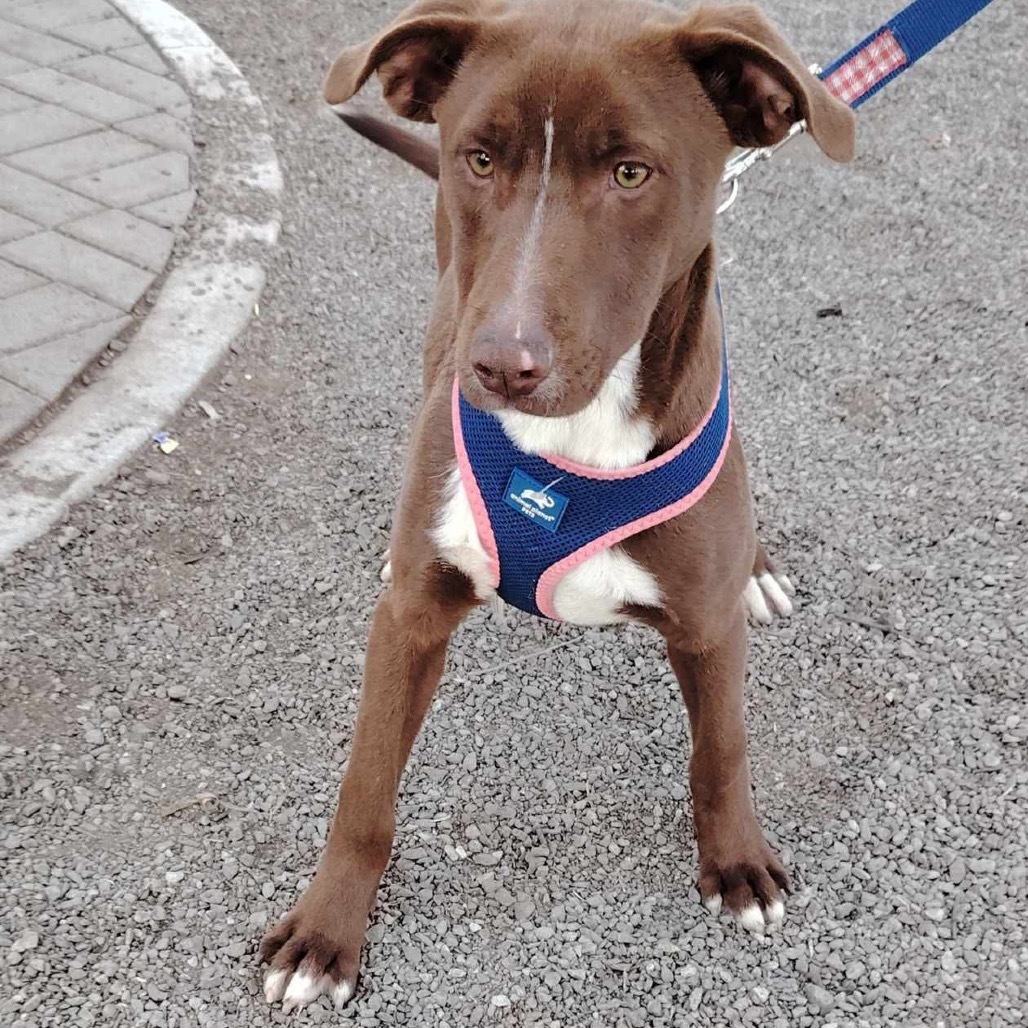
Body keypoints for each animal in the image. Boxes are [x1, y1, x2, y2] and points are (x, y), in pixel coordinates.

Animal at [261, 0, 855, 1011]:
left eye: (631, 173)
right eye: (479, 158)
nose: (503, 363)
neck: (570, 447)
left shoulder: (706, 625)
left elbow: (723, 749)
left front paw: (736, 862)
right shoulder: (411, 621)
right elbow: (366, 784)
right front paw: (325, 931)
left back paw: (760, 569)